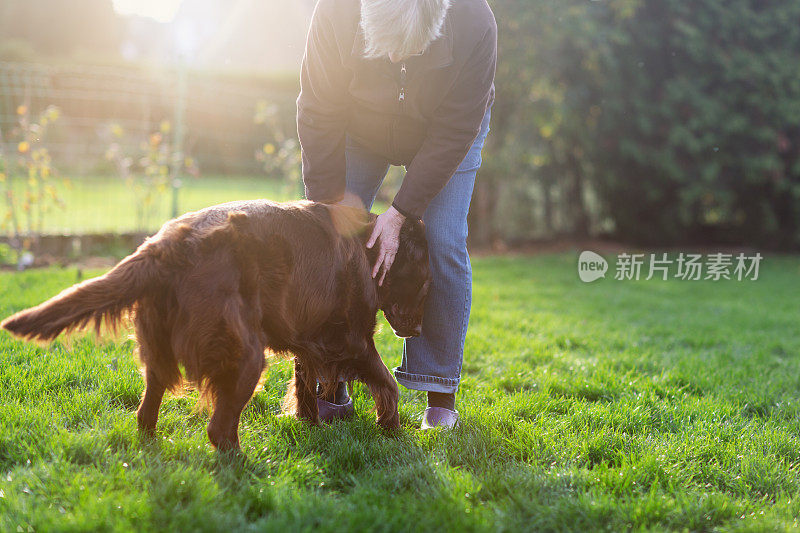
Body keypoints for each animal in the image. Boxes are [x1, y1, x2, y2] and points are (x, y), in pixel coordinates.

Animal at [1, 200, 432, 448]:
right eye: (427, 282)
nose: (417, 332)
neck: (368, 247)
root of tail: (166, 245)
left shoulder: (309, 339)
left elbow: (306, 385)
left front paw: (308, 425)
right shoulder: (354, 341)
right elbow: (389, 384)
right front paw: (392, 431)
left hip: (160, 349)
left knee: (146, 410)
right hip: (245, 357)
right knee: (218, 429)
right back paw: (242, 470)